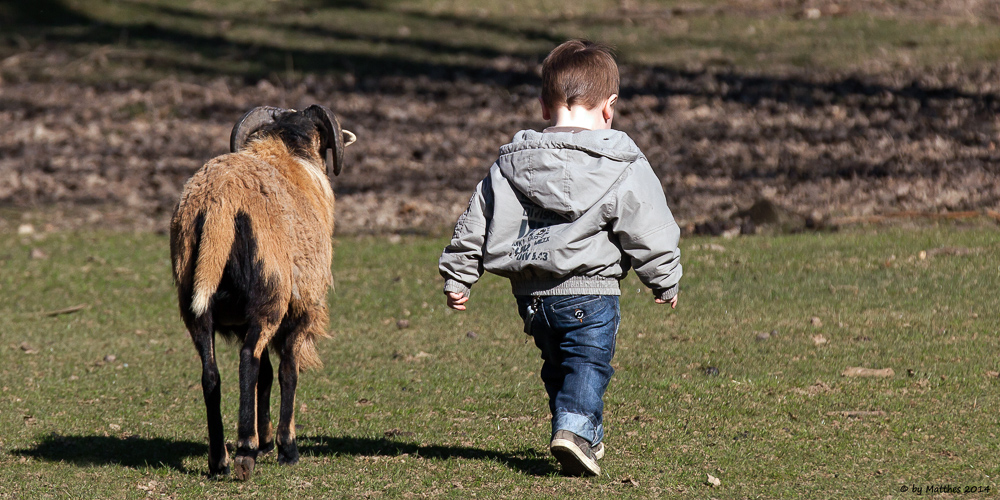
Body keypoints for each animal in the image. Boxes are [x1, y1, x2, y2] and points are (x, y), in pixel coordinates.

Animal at [170, 105, 358, 480]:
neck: (290, 154)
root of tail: (218, 204)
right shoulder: (301, 312)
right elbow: (287, 372)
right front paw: (286, 447)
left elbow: (267, 376)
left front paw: (267, 440)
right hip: (268, 299)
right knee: (247, 361)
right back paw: (244, 453)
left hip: (194, 304)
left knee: (212, 374)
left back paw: (220, 461)